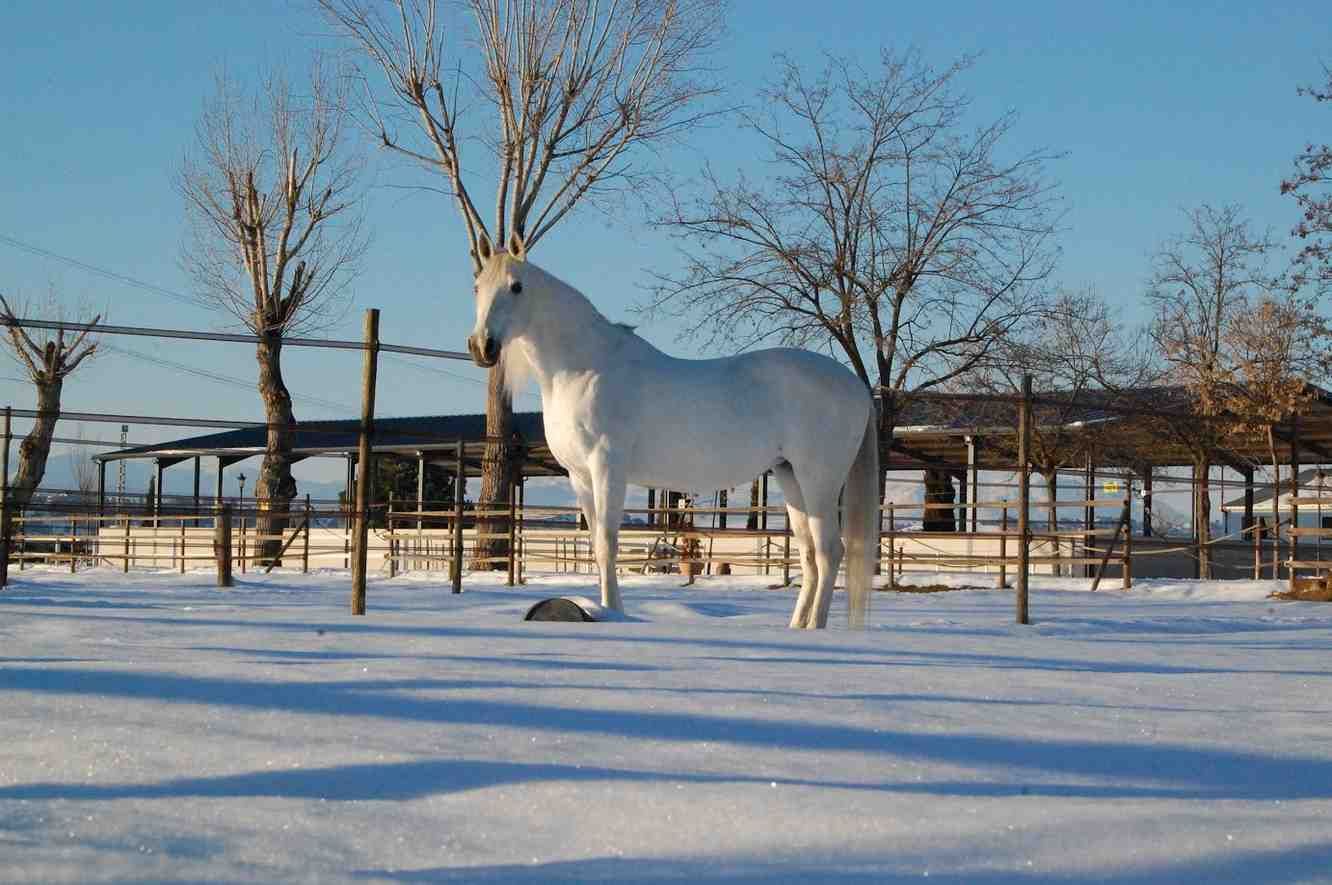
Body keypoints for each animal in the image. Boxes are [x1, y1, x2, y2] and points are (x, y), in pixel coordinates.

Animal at [467, 236, 879, 629]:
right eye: (476, 286)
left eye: (517, 286)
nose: (481, 347)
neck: (583, 368)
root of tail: (856, 386)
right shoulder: (579, 476)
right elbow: (595, 544)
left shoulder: (607, 468)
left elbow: (607, 544)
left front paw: (613, 613)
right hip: (789, 475)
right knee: (809, 555)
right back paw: (797, 627)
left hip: (819, 479)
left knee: (830, 551)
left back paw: (816, 627)